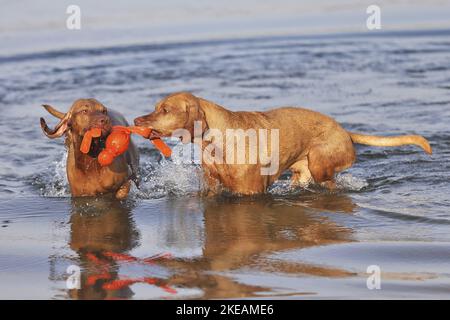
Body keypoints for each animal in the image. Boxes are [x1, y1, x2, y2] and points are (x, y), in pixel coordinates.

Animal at [134, 92, 432, 195]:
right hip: (303, 173)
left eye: (165, 110)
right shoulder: (212, 185)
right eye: (155, 107)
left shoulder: (250, 192)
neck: (218, 143)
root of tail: (344, 130)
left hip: (321, 164)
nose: (137, 119)